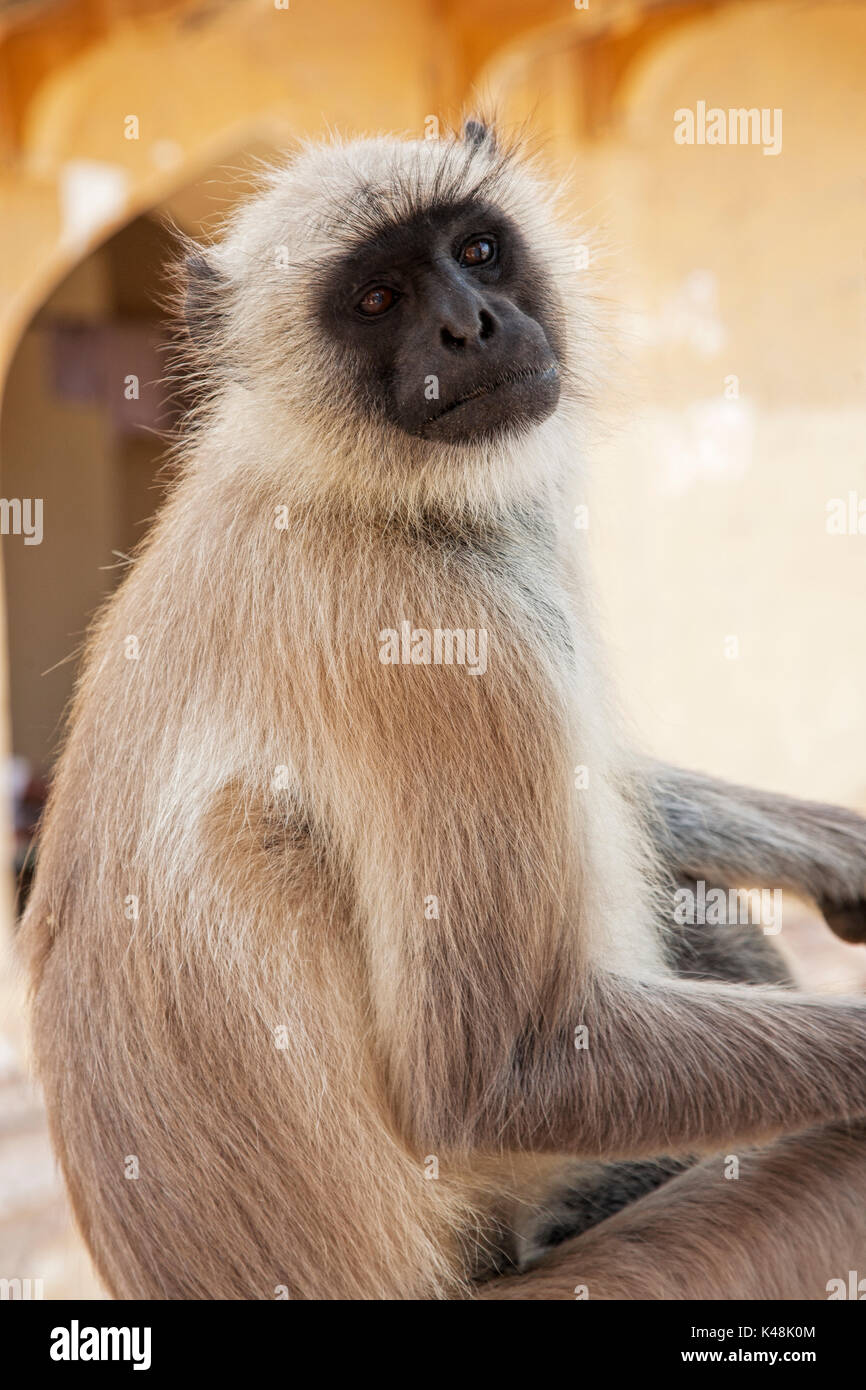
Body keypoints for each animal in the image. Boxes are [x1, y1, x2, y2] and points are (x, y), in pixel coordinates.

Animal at [20, 125, 866, 1295]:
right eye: (378, 298)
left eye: (476, 250)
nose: (469, 325)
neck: (345, 488)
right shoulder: (436, 637)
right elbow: (500, 1069)